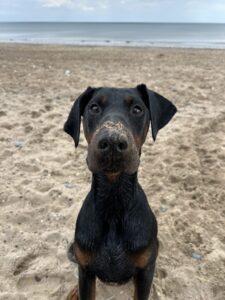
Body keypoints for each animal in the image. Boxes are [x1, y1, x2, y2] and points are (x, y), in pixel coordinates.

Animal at [63, 84, 176, 300]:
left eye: (137, 109)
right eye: (94, 108)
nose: (113, 142)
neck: (114, 201)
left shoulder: (145, 270)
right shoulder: (86, 270)